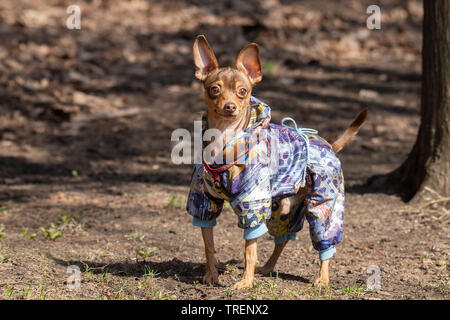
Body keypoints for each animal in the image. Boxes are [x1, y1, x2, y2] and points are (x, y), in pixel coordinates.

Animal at [186, 35, 366, 290]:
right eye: (214, 89)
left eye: (243, 91)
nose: (230, 106)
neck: (224, 139)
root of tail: (329, 145)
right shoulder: (203, 202)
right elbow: (208, 245)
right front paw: (211, 275)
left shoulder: (252, 205)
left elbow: (249, 251)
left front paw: (245, 282)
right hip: (282, 210)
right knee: (283, 240)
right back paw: (268, 267)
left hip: (323, 205)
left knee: (324, 239)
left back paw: (322, 278)